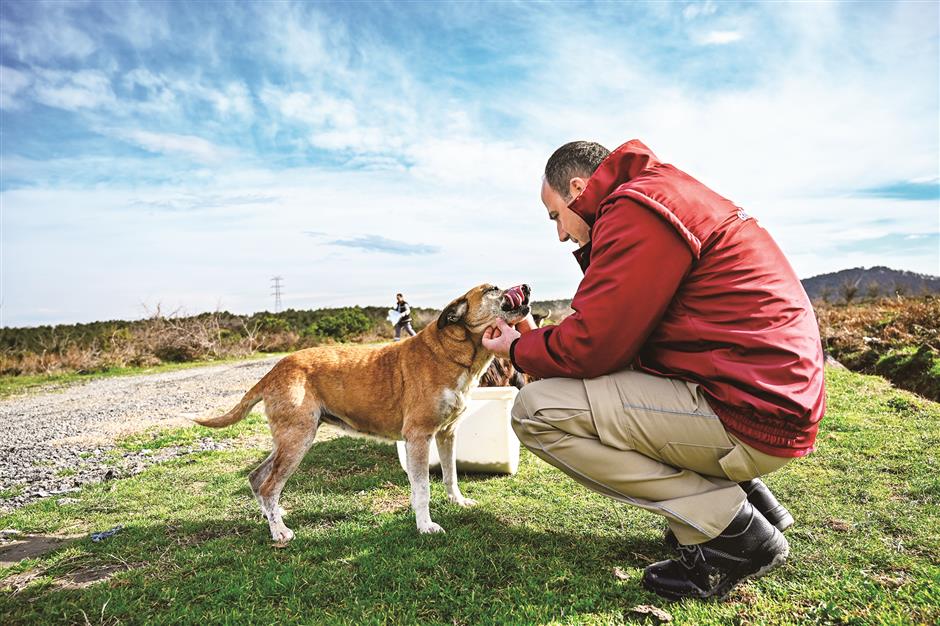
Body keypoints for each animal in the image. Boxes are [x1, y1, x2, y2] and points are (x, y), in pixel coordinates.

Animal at [193, 282, 528, 540]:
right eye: (491, 289)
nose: (525, 286)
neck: (451, 353)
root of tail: (274, 370)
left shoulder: (447, 434)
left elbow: (450, 475)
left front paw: (457, 501)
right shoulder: (419, 437)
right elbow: (422, 488)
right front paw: (425, 526)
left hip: (288, 439)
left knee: (256, 477)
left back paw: (272, 515)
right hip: (297, 439)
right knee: (269, 484)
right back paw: (279, 532)